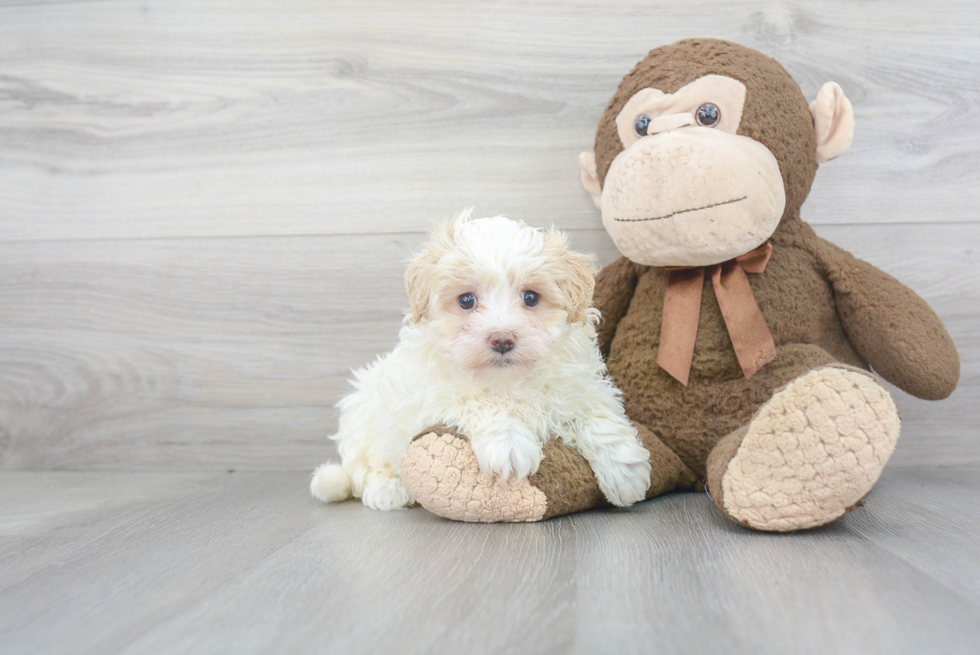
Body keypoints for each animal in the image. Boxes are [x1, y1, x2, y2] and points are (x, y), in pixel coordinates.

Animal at [310, 210, 656, 512]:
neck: (509, 381)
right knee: (362, 470)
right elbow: (480, 403)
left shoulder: (579, 386)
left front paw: (625, 472)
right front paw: (510, 444)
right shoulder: (436, 396)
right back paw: (388, 490)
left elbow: (596, 415)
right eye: (466, 300)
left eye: (531, 298)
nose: (502, 339)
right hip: (363, 416)